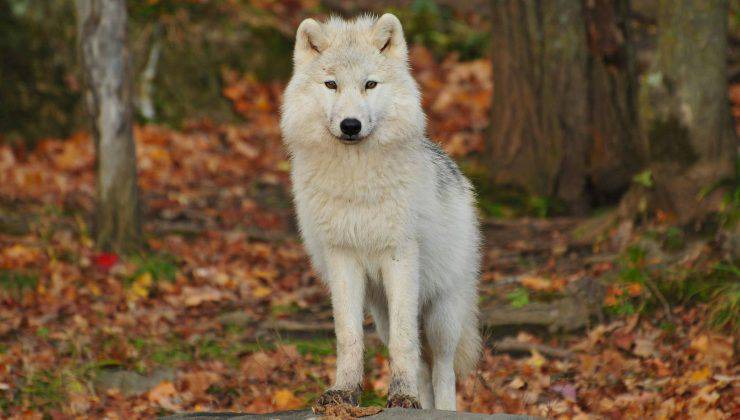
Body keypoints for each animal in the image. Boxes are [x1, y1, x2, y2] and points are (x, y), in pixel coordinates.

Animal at [280, 13, 481, 411]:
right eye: (331, 84)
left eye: (370, 84)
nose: (350, 125)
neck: (356, 181)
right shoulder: (342, 257)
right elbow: (348, 336)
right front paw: (344, 392)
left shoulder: (399, 255)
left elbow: (405, 343)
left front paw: (401, 395)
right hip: (381, 312)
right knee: (422, 365)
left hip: (442, 313)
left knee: (443, 367)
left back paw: (440, 408)